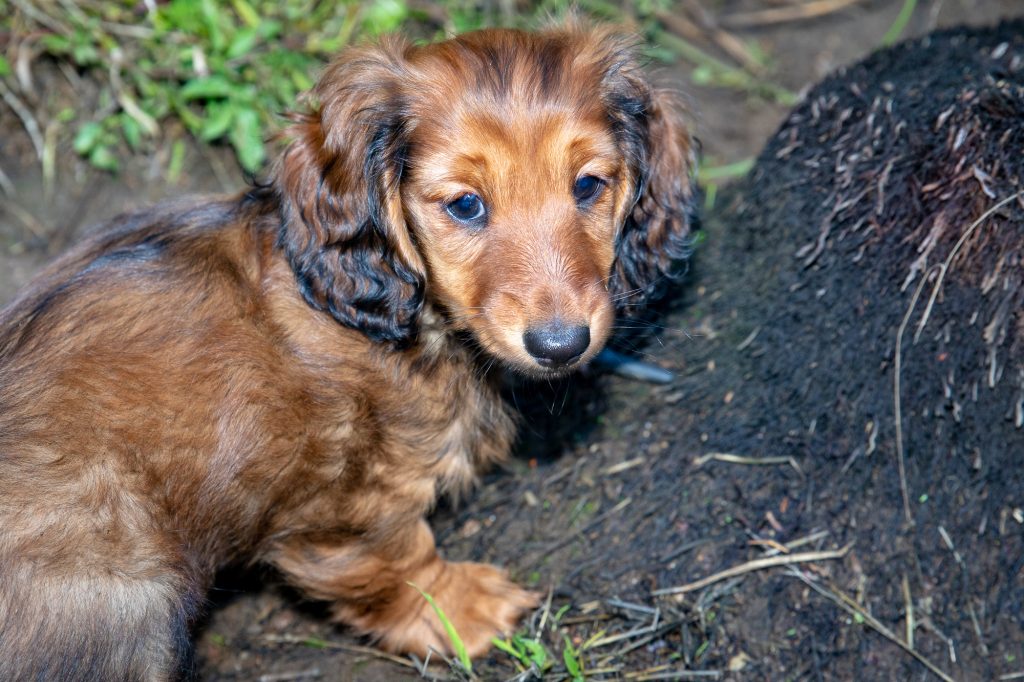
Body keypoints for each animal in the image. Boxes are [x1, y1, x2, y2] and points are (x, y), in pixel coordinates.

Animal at [0, 21, 696, 679]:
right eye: (466, 204)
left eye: (589, 186)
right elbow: (400, 559)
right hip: (125, 591)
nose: (561, 345)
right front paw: (460, 611)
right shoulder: (348, 499)